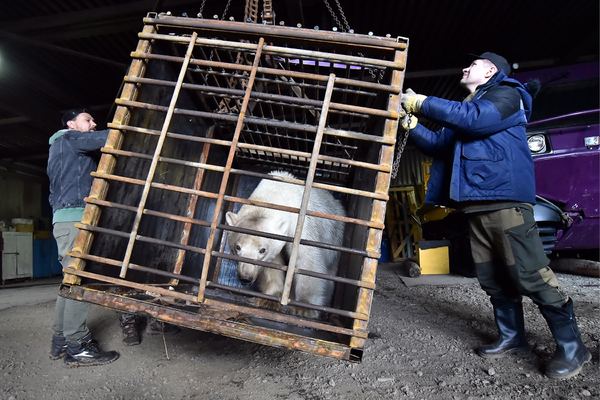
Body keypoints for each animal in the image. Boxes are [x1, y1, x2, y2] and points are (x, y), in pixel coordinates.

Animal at [226, 171, 346, 318]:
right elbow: (273, 265)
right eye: (237, 247)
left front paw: (304, 308)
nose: (245, 278)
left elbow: (307, 261)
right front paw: (269, 300)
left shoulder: (301, 228)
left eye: (262, 250)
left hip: (336, 241)